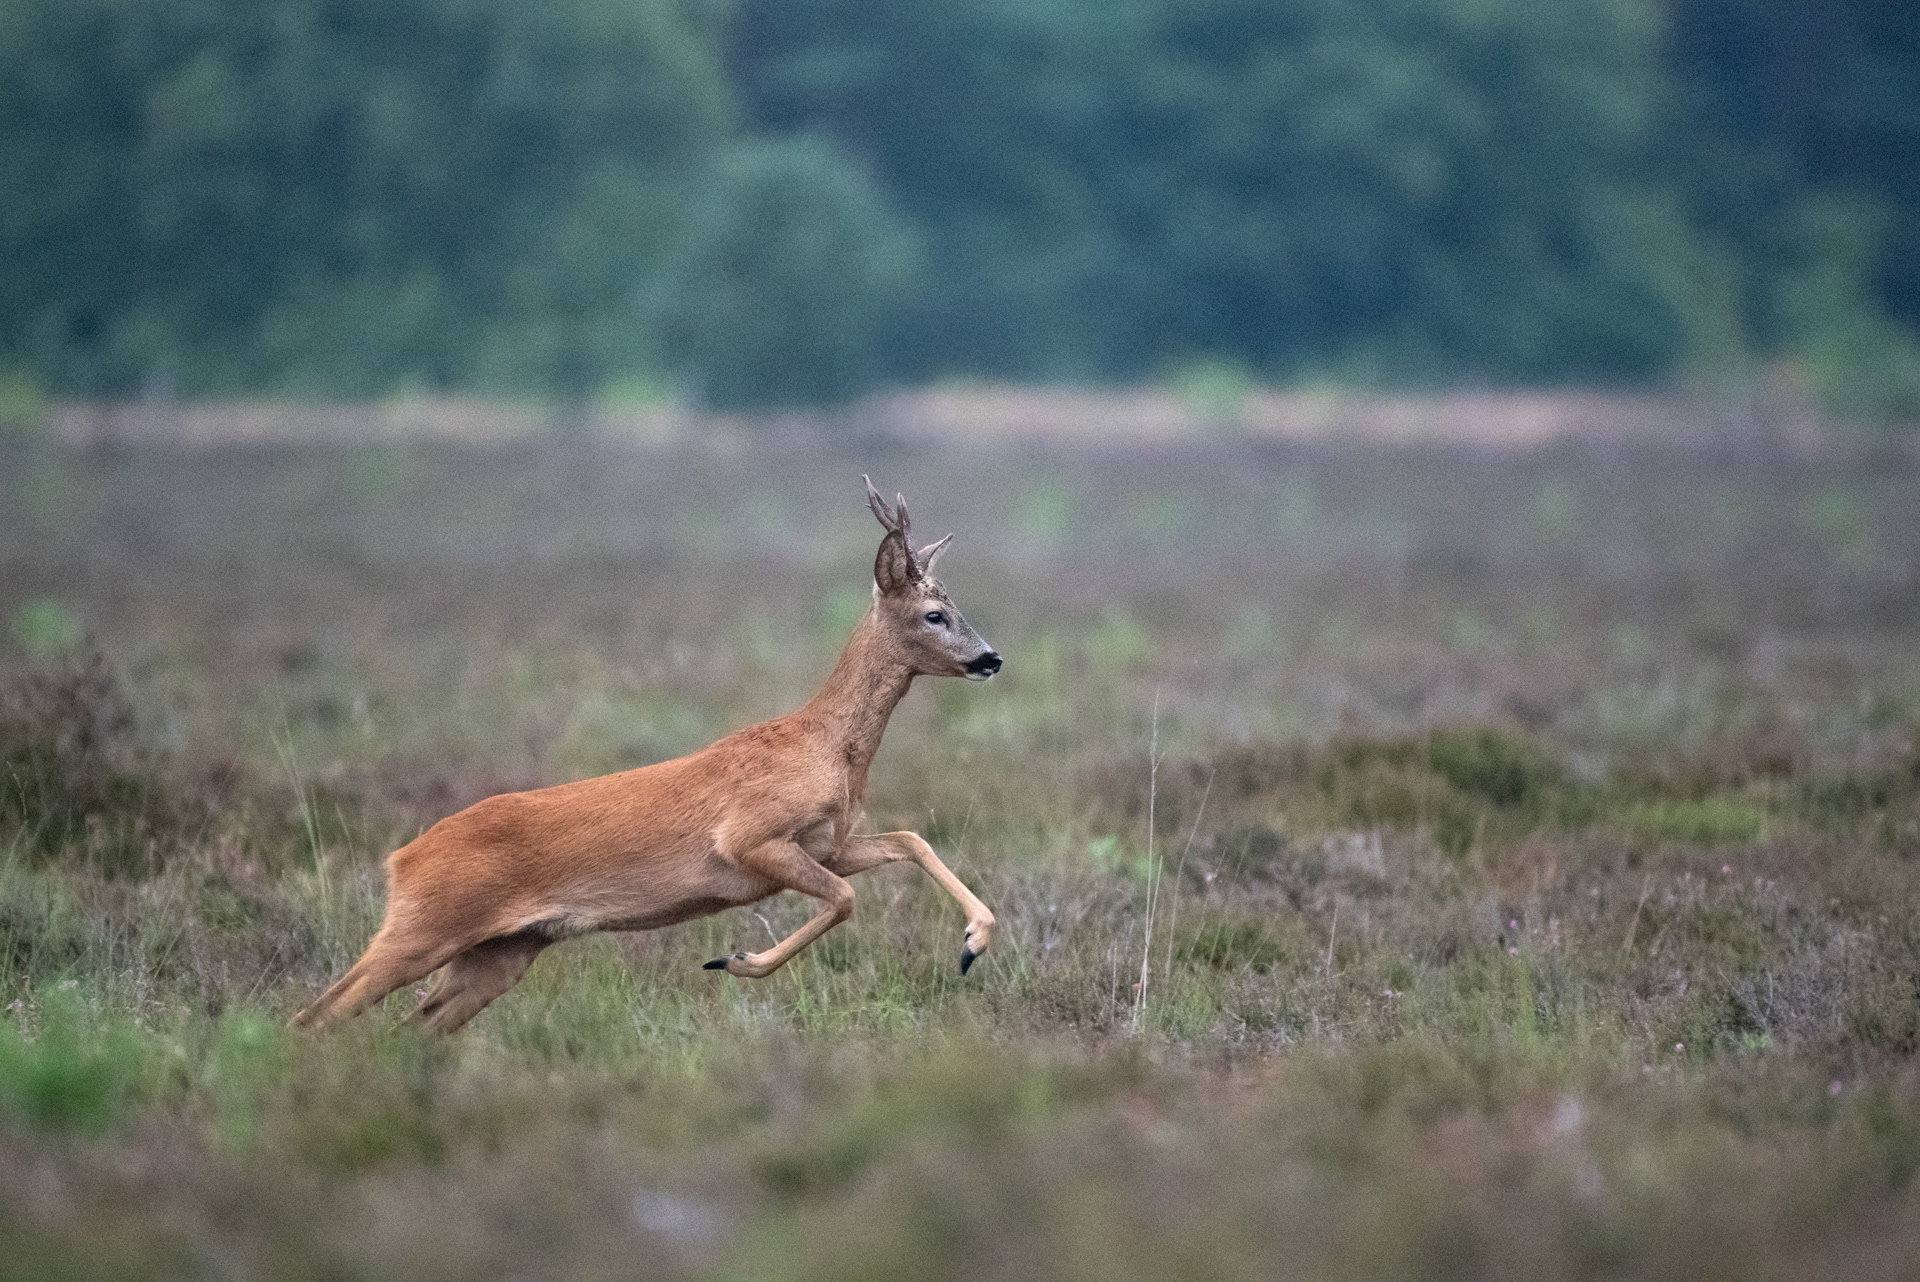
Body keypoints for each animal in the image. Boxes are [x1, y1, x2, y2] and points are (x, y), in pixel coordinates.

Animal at [290, 478, 1002, 1034]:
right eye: (935, 613)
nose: (991, 658)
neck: (825, 748)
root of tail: (399, 861)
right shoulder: (751, 838)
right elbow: (846, 899)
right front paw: (734, 960)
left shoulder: (827, 844)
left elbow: (909, 840)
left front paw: (973, 943)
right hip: (421, 929)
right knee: (316, 1015)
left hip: (501, 953)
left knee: (412, 1024)